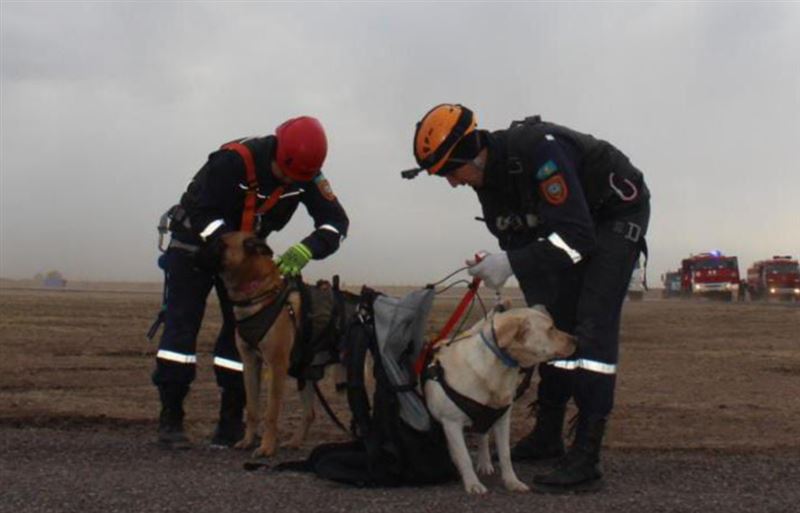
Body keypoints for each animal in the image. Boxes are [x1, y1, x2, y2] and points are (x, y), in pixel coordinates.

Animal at [219, 231, 344, 456]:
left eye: (219, 243)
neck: (258, 294)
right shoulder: (250, 364)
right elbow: (252, 409)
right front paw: (248, 441)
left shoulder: (277, 366)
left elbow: (271, 412)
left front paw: (267, 447)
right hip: (307, 373)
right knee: (310, 413)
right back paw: (295, 442)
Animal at [424, 306, 576, 494]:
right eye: (551, 329)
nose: (576, 340)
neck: (497, 368)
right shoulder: (451, 423)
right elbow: (464, 456)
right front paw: (472, 483)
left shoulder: (502, 418)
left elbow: (505, 454)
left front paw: (512, 481)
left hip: (484, 417)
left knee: (482, 436)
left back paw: (484, 463)